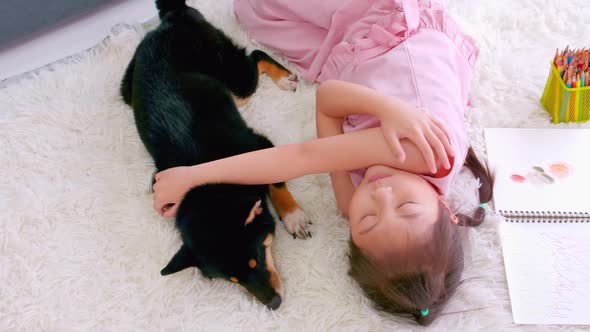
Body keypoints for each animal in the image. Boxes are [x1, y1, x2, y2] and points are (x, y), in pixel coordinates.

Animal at [122, 0, 312, 308]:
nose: (273, 304)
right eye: (232, 280)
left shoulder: (260, 146)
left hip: (236, 82)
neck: (210, 180)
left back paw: (284, 78)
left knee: (255, 55)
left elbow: (276, 182)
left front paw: (293, 217)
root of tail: (173, 17)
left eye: (255, 259)